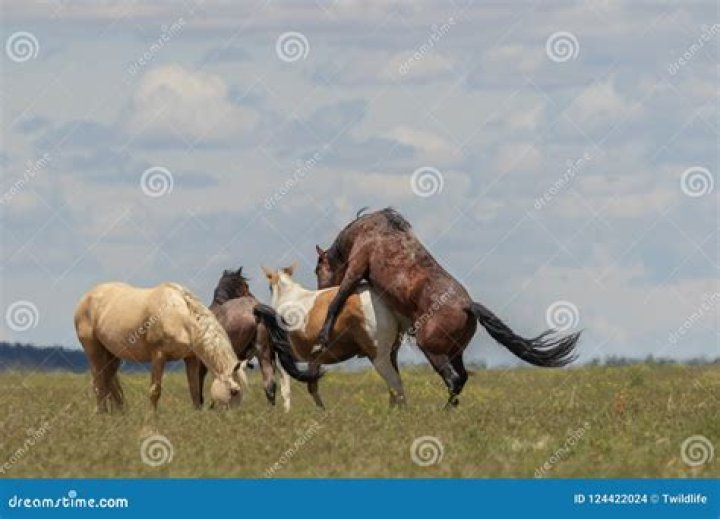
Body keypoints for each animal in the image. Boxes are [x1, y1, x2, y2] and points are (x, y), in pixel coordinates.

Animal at [74, 281, 247, 413]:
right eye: (234, 392)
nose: (232, 417)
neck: (179, 317)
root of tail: (86, 298)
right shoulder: (158, 356)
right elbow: (155, 391)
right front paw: (151, 419)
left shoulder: (190, 358)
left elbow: (195, 390)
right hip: (93, 350)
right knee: (99, 382)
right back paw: (102, 414)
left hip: (112, 355)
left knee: (109, 381)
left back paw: (121, 414)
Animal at [262, 264, 405, 409]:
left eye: (269, 287)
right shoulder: (314, 360)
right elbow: (312, 387)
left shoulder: (282, 359)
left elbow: (285, 389)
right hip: (391, 353)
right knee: (394, 386)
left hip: (379, 356)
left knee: (395, 383)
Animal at [315, 207, 581, 408]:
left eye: (318, 270)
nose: (319, 291)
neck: (371, 230)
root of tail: (468, 306)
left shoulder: (356, 269)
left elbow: (338, 301)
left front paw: (323, 337)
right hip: (454, 352)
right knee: (461, 378)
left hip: (433, 351)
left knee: (453, 379)